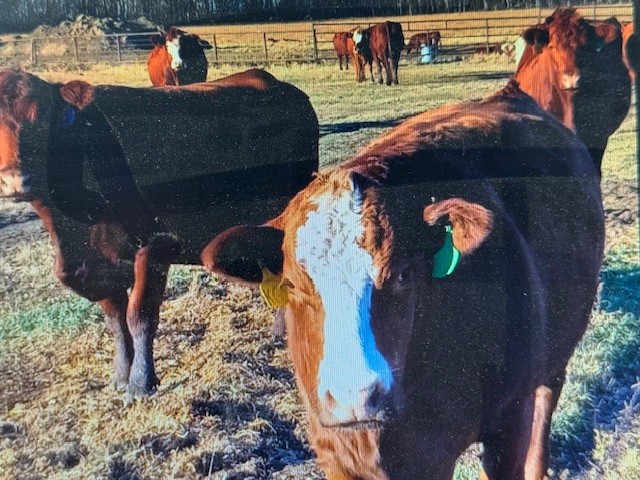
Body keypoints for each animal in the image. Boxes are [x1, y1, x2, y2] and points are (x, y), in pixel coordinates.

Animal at [0, 67, 319, 401]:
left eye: (41, 121)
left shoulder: (157, 245)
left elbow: (139, 315)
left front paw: (141, 383)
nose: (16, 181)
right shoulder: (97, 263)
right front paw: (120, 376)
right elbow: (115, 319)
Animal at [201, 81, 604, 479]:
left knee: (548, 398)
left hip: (556, 353)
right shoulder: (336, 452)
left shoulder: (508, 422)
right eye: (292, 286)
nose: (355, 397)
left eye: (401, 274)